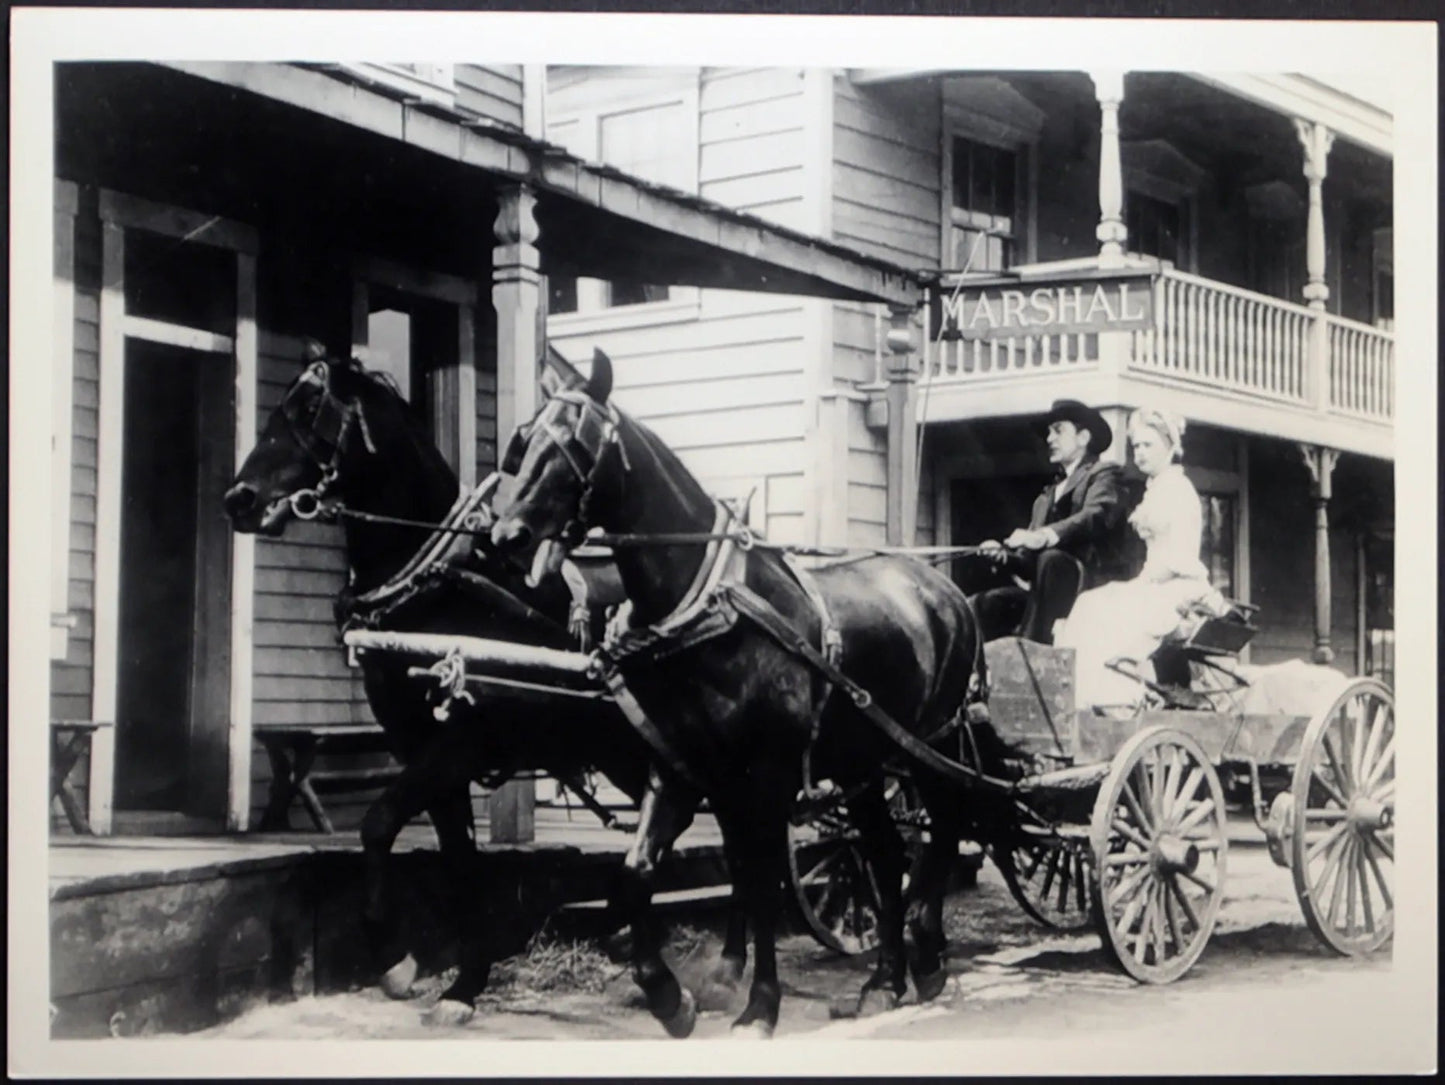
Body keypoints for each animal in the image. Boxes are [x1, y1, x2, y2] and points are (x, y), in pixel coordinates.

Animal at [226, 348, 751, 1028]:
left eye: (309, 409)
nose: (238, 499)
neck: (441, 587)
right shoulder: (422, 748)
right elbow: (459, 863)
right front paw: (461, 982)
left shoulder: (457, 747)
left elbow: (378, 824)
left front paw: (397, 962)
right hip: (631, 750)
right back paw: (631, 937)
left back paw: (728, 969)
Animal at [491, 352, 988, 1040]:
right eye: (524, 442)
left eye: (574, 445)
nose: (504, 534)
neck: (706, 611)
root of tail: (946, 589)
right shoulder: (685, 772)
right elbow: (641, 873)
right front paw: (671, 996)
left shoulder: (767, 777)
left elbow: (762, 879)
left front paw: (760, 1006)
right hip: (860, 763)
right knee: (885, 854)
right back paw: (884, 981)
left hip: (929, 745)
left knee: (943, 829)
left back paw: (927, 949)